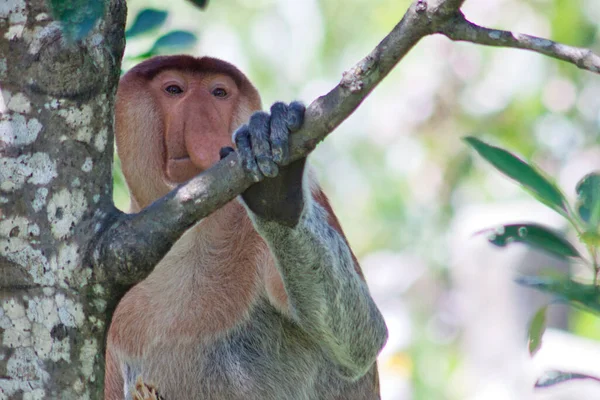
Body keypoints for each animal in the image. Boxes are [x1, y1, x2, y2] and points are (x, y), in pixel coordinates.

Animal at [106, 56, 390, 400]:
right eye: (174, 90)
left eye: (219, 93)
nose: (207, 132)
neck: (191, 230)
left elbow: (361, 340)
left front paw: (273, 180)